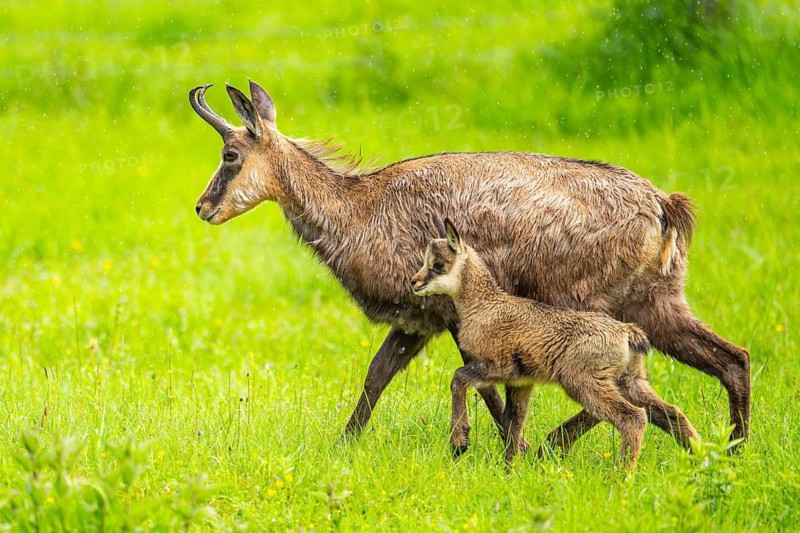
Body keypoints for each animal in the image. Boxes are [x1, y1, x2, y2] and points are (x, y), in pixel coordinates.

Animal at [411, 219, 699, 467]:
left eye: (438, 264)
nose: (414, 282)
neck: (484, 305)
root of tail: (627, 332)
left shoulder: (498, 366)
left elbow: (459, 378)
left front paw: (459, 442)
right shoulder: (521, 383)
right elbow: (513, 422)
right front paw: (510, 469)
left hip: (583, 382)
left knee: (634, 418)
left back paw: (621, 474)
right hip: (630, 381)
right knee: (671, 413)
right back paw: (702, 459)